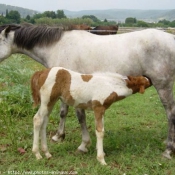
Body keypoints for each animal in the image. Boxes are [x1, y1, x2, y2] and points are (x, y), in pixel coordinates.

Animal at [0, 23, 175, 159]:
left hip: (163, 86)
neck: (58, 46)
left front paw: (83, 145)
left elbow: (80, 116)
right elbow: (63, 112)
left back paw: (168, 150)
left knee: (170, 113)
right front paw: (59, 136)